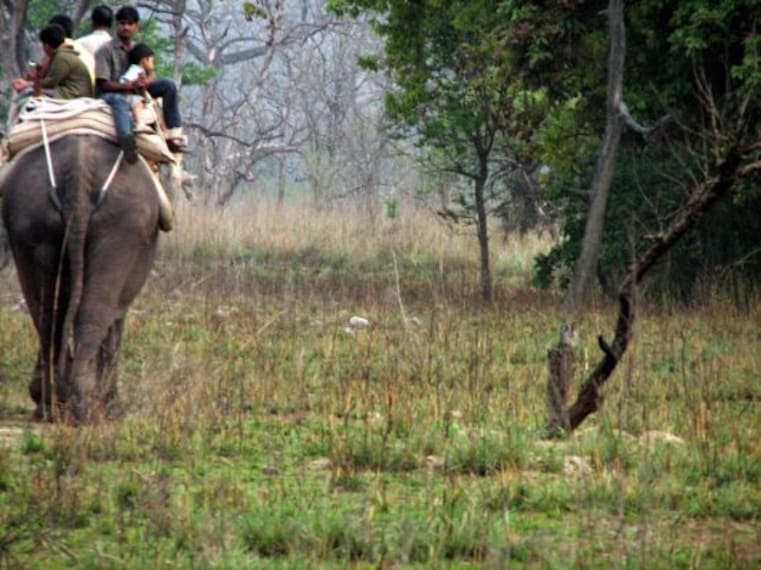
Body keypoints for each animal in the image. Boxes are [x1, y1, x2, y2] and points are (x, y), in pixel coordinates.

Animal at [1, 134, 160, 423]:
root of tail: (79, 166)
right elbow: (116, 316)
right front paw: (113, 409)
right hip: (123, 223)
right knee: (93, 310)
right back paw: (85, 407)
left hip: (31, 216)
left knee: (46, 310)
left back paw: (54, 405)